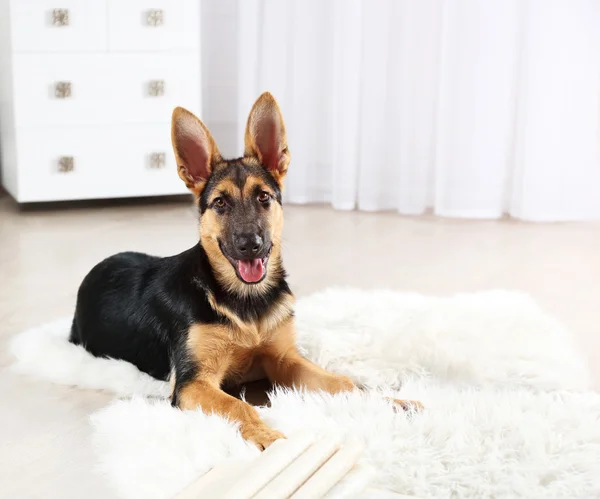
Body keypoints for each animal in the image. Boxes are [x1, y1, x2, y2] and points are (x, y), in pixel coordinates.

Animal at [68, 92, 420, 452]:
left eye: (263, 196)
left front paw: (391, 401)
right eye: (220, 203)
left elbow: (341, 383)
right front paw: (269, 437)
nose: (250, 244)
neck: (245, 300)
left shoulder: (284, 360)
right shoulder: (193, 383)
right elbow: (239, 406)